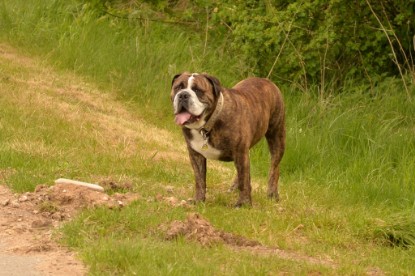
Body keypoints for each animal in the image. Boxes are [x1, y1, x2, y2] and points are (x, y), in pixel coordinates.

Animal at [171, 72, 284, 206]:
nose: (183, 95)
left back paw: (272, 194)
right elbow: (199, 179)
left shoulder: (240, 153)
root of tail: (267, 80)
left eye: (198, 90)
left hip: (277, 137)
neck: (207, 125)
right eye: (178, 87)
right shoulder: (195, 154)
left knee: (274, 166)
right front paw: (199, 200)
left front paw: (243, 204)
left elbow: (244, 180)